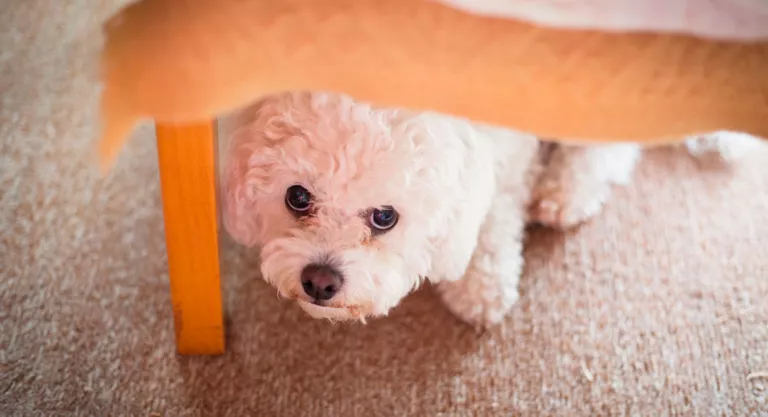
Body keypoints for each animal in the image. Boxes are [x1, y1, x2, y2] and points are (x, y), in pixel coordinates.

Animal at [220, 91, 760, 328]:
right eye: (297, 197)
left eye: (384, 217)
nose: (319, 281)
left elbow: (491, 219)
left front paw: (479, 288)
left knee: (612, 145)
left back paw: (567, 190)